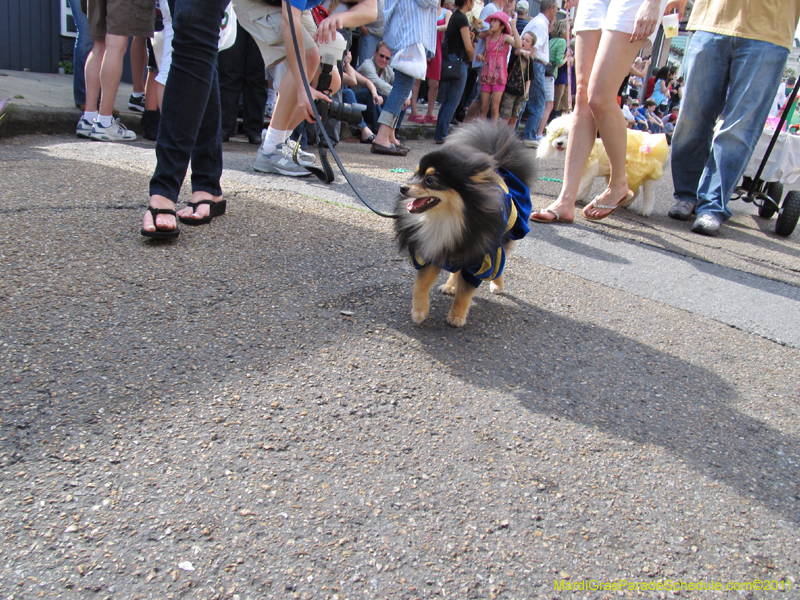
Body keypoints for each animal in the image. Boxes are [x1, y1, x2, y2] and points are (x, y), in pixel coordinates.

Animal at [392, 122, 532, 328]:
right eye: (415, 173)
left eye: (430, 180)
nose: (402, 187)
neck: (447, 219)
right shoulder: (431, 250)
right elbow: (421, 283)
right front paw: (419, 311)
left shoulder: (480, 259)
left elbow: (465, 291)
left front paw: (457, 316)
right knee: (455, 268)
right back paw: (450, 286)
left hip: (501, 239)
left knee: (500, 263)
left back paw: (497, 285)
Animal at [536, 113, 672, 217]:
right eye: (558, 135)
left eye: (568, 136)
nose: (559, 143)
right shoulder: (588, 170)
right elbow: (586, 185)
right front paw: (581, 197)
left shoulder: (590, 169)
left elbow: (582, 185)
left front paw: (577, 196)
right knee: (635, 191)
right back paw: (626, 203)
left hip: (647, 178)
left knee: (649, 195)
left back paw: (645, 211)